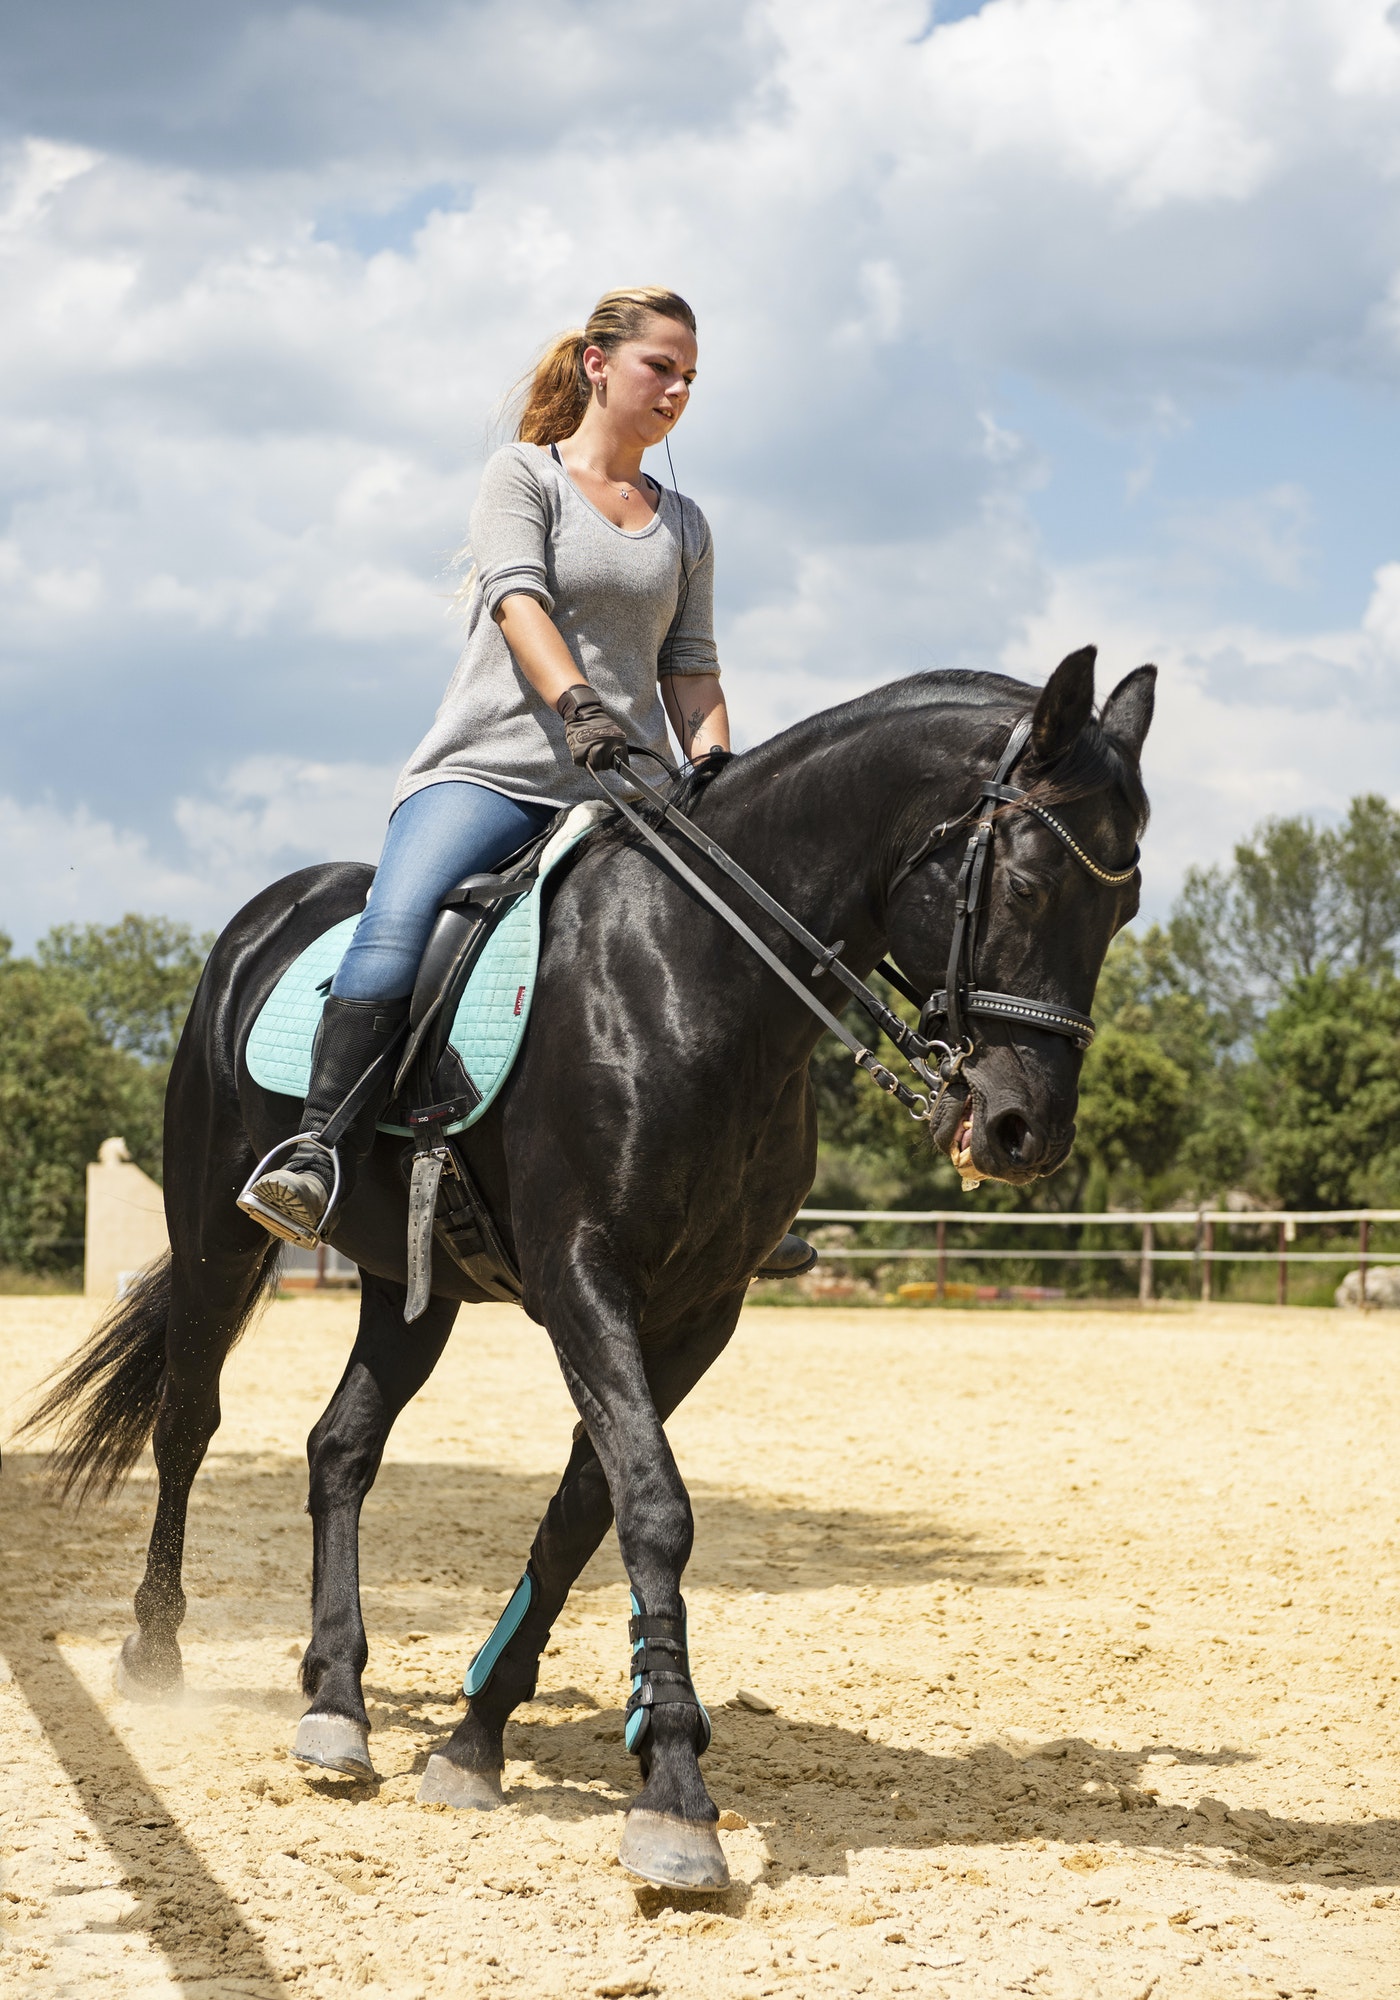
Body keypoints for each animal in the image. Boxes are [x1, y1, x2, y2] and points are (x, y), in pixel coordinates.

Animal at [27, 644, 1152, 1888]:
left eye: (1124, 903)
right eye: (1031, 882)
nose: (1021, 1130)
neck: (696, 976)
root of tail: (264, 916)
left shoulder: (697, 1309)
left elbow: (583, 1507)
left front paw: (476, 1737)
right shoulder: (582, 1273)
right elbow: (652, 1504)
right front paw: (673, 1794)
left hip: (409, 1289)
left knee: (340, 1448)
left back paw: (335, 1703)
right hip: (218, 1233)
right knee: (188, 1418)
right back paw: (154, 1648)